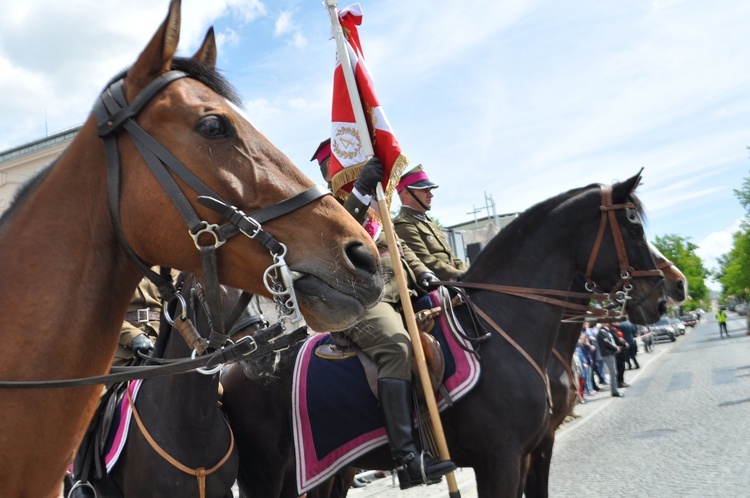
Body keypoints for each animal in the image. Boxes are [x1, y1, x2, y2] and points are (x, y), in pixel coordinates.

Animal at [220, 173, 668, 496]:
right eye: (633, 227)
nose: (664, 297)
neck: (503, 329)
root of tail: (238, 367)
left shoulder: (534, 450)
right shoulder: (501, 459)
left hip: (326, 472)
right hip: (268, 475)